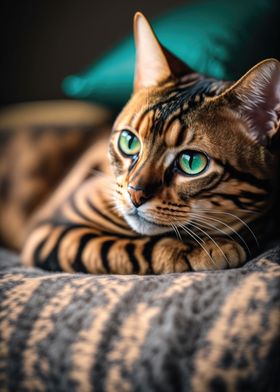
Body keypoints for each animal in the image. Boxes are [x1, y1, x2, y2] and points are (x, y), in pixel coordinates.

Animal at [7, 13, 280, 274]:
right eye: (129, 142)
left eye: (192, 162)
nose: (135, 193)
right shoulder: (54, 230)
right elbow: (128, 246)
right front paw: (200, 249)